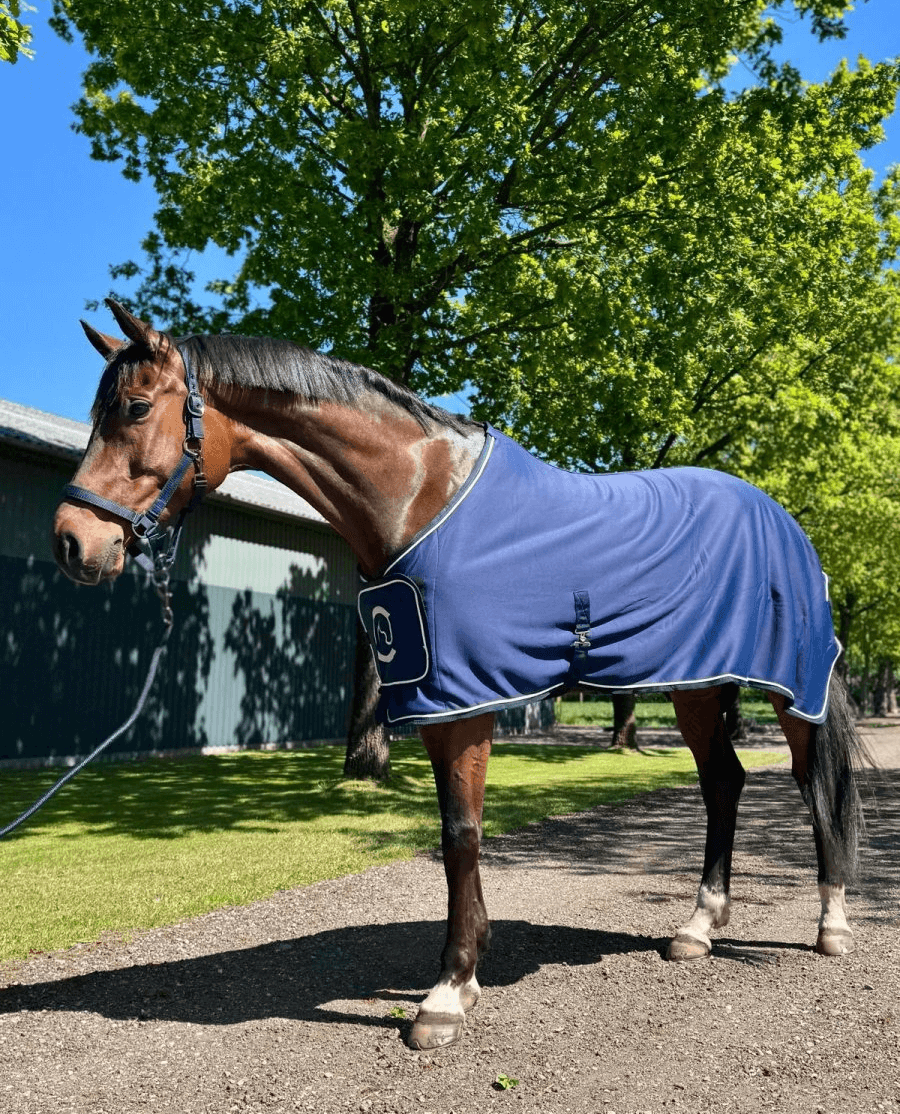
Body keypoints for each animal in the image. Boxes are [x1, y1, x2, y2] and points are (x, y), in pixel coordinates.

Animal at [53, 300, 867, 1051]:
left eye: (133, 407)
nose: (72, 542)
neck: (419, 493)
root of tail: (786, 522)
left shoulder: (468, 701)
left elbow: (462, 836)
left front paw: (446, 995)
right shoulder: (439, 703)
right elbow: (454, 837)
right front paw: (466, 972)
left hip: (792, 689)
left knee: (814, 783)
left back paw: (831, 923)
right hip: (699, 686)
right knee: (724, 782)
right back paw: (698, 927)